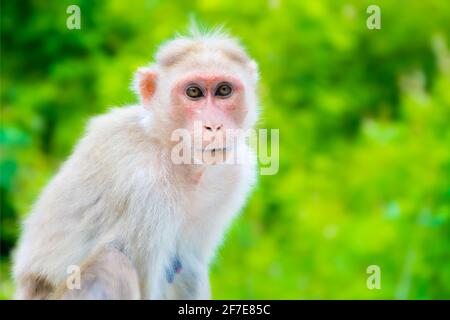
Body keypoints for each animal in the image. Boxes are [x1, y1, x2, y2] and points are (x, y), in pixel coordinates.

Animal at [12, 28, 260, 300]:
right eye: (193, 93)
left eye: (224, 90)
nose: (213, 126)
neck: (170, 149)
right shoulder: (144, 186)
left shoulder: (234, 173)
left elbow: (189, 266)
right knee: (113, 264)